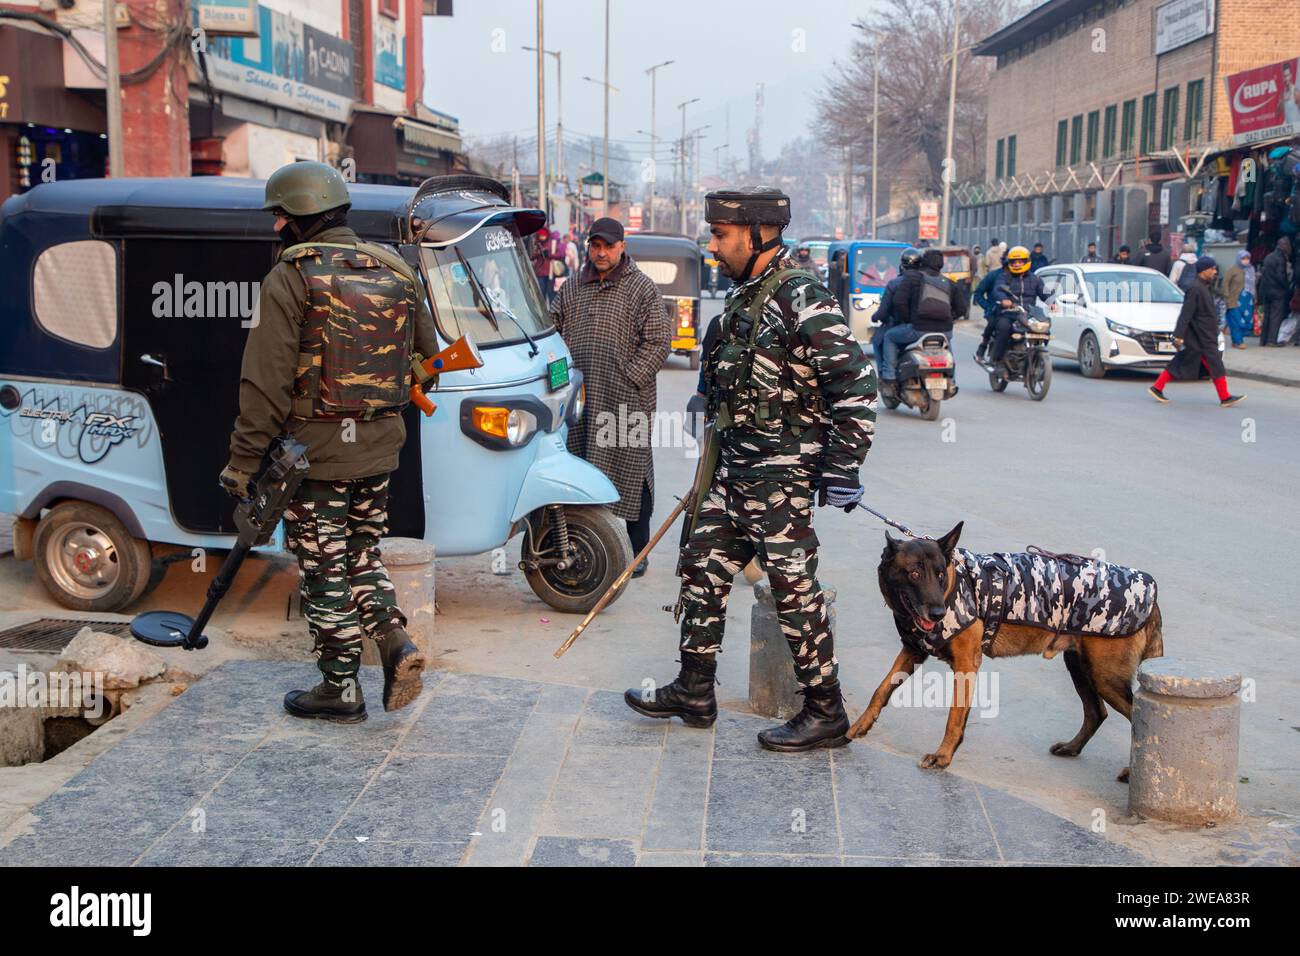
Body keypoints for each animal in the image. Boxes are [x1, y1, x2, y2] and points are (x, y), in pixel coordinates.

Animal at [847, 522, 1164, 785]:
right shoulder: (912, 652)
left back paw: (1131, 772)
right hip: (1081, 667)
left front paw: (943, 757)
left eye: (939, 575)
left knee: (1136, 721)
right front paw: (860, 726)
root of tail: (1153, 594)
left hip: (1104, 676)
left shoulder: (966, 664)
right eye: (914, 573)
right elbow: (881, 689)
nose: (937, 613)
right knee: (1096, 712)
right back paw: (1072, 748)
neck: (955, 585)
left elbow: (954, 716)